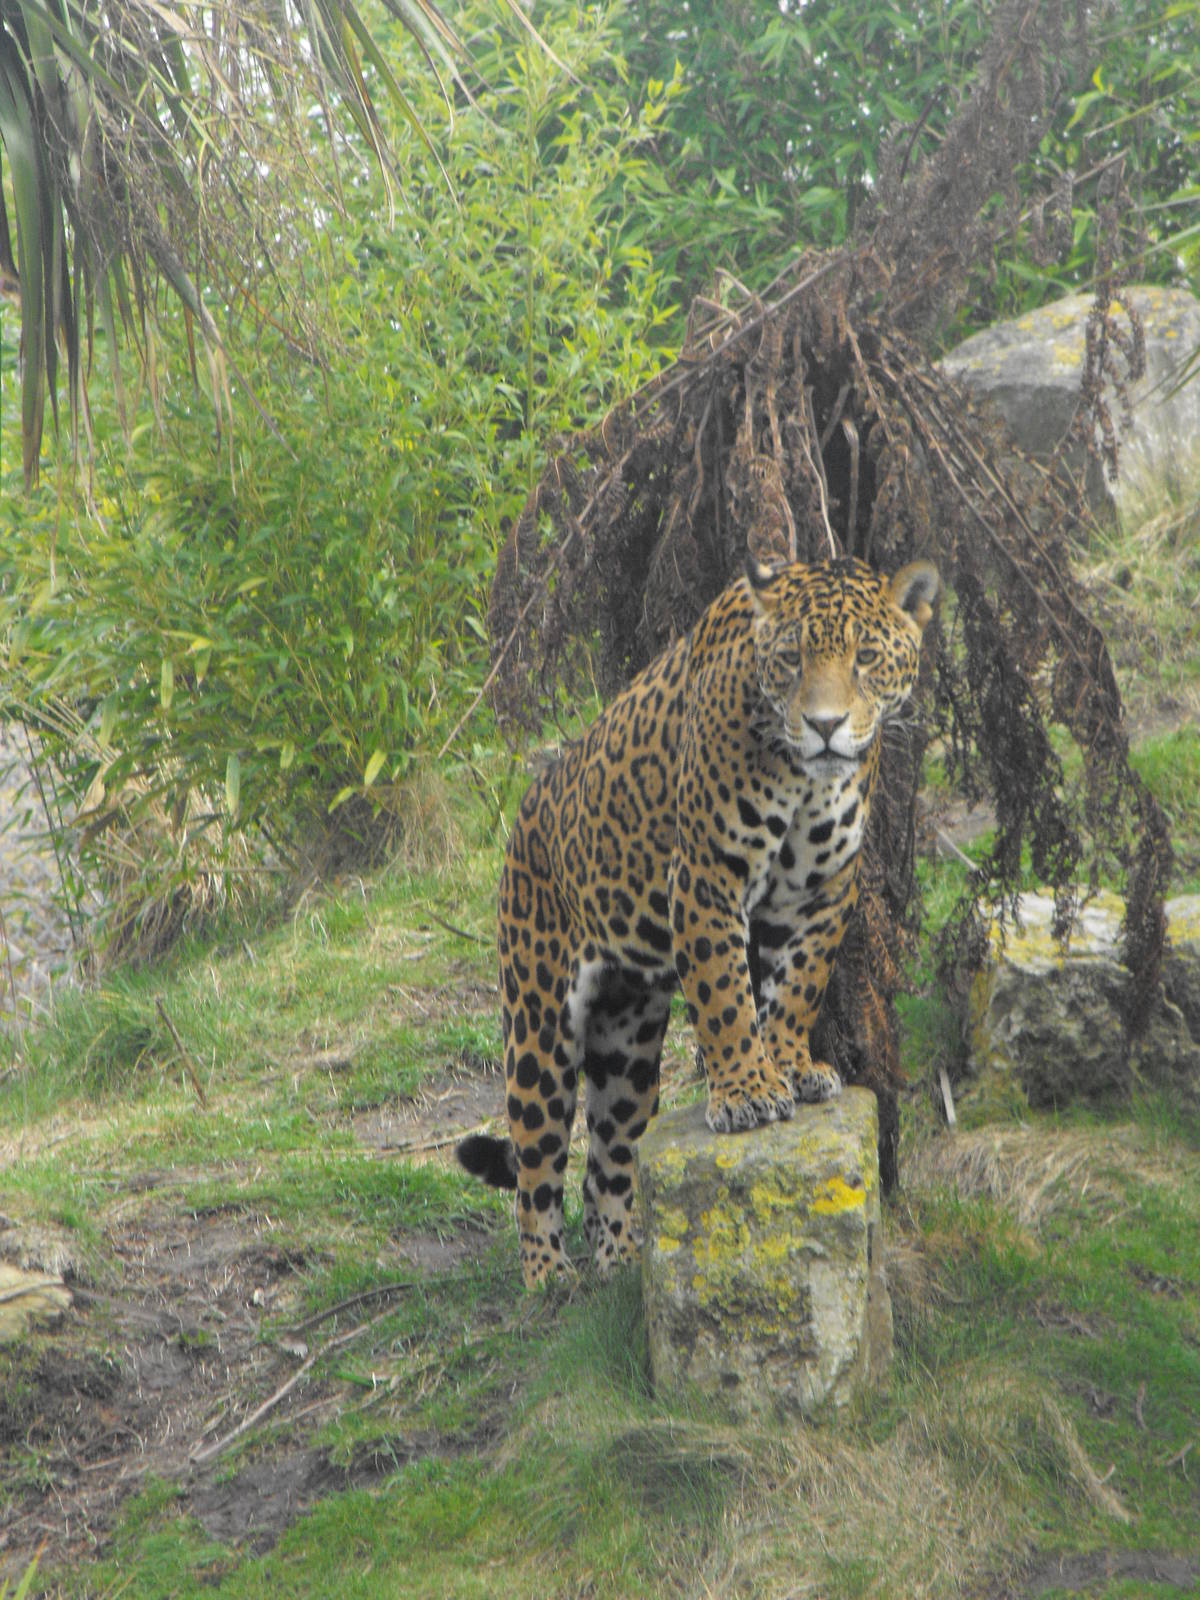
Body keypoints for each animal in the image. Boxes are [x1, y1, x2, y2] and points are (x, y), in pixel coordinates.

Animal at [458, 555, 939, 1287]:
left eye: (866, 658)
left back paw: (622, 1259)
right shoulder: (706, 880)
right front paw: (746, 1092)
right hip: (538, 1021)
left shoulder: (822, 893)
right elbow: (726, 1000)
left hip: (625, 1046)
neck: (807, 776)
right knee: (537, 1161)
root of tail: (526, 816)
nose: (825, 725)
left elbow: (795, 991)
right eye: (792, 660)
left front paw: (792, 1066)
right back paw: (549, 1276)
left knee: (609, 1159)